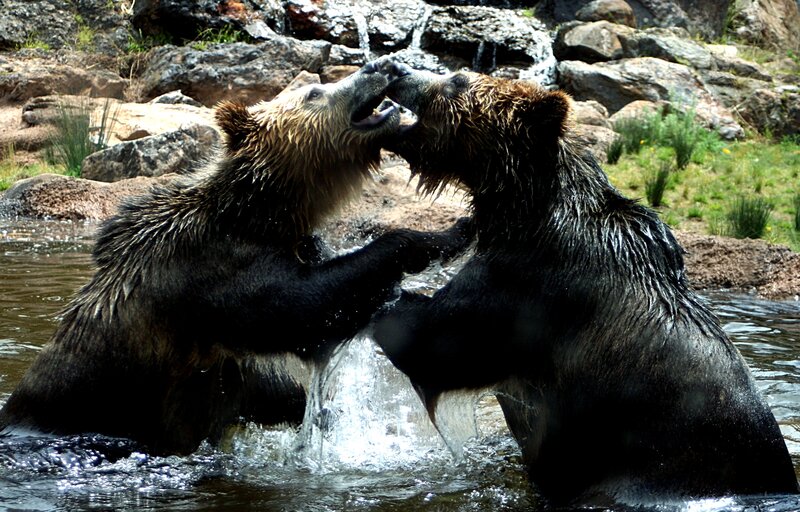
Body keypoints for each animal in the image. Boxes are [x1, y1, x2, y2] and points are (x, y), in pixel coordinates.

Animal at [0, 61, 472, 456]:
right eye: (315, 91)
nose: (382, 66)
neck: (259, 213)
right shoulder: (208, 272)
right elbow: (301, 307)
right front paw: (446, 233)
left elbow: (272, 384)